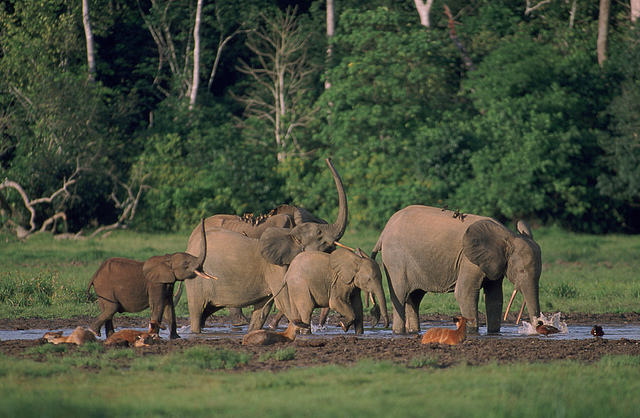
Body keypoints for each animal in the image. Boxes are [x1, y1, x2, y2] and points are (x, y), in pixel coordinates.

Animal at [184, 158, 348, 333]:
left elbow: (263, 311)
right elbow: (286, 302)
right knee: (197, 311)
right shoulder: (275, 268)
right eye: (320, 235)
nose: (327, 159)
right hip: (197, 281)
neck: (291, 232)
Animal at [372, 205, 541, 335]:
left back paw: (414, 331)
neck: (508, 236)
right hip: (395, 259)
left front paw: (493, 333)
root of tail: (383, 232)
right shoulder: (469, 260)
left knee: (414, 297)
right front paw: (472, 332)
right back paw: (399, 333)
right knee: (400, 295)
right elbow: (464, 293)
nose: (538, 325)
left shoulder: (495, 263)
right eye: (521, 271)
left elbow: (495, 297)